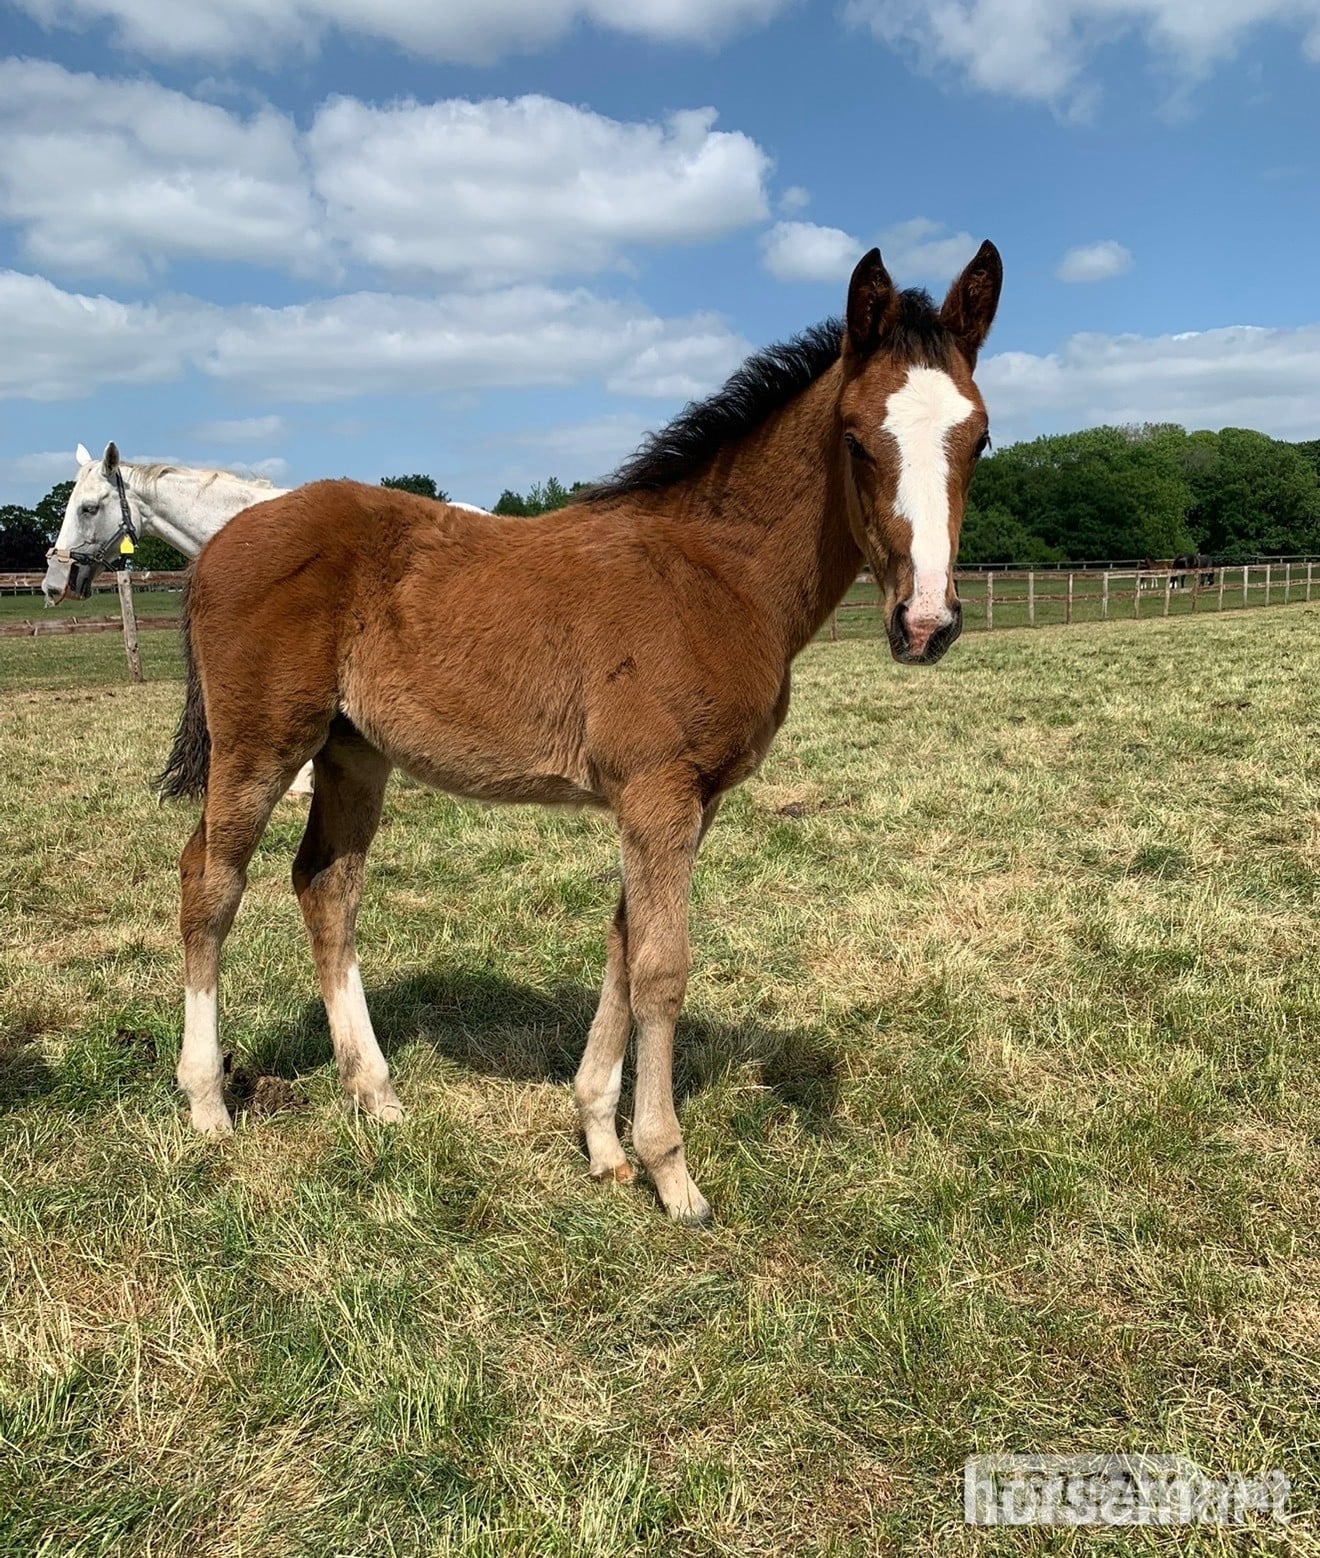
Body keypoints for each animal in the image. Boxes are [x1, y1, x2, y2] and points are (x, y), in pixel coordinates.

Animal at [160, 241, 1003, 1223]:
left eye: (979, 438)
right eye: (857, 436)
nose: (926, 621)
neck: (715, 575)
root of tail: (218, 545)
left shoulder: (685, 802)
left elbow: (622, 944)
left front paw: (602, 1141)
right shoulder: (658, 791)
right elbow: (661, 967)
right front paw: (671, 1172)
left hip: (352, 752)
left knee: (326, 884)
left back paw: (376, 1095)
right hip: (260, 744)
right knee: (210, 882)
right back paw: (207, 1104)